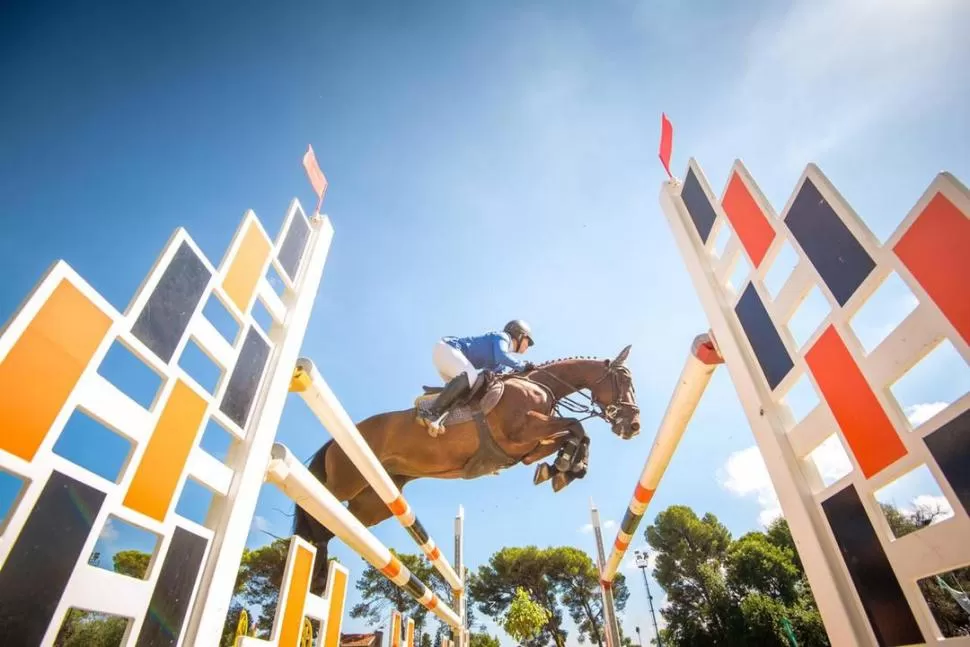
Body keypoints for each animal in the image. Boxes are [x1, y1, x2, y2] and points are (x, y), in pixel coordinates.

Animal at [294, 346, 644, 596]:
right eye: (625, 381)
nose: (633, 426)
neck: (540, 386)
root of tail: (336, 439)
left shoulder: (528, 448)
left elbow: (576, 435)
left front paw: (562, 469)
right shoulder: (523, 432)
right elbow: (575, 426)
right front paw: (567, 467)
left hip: (374, 502)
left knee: (333, 525)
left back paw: (316, 575)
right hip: (347, 481)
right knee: (315, 515)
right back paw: (314, 573)